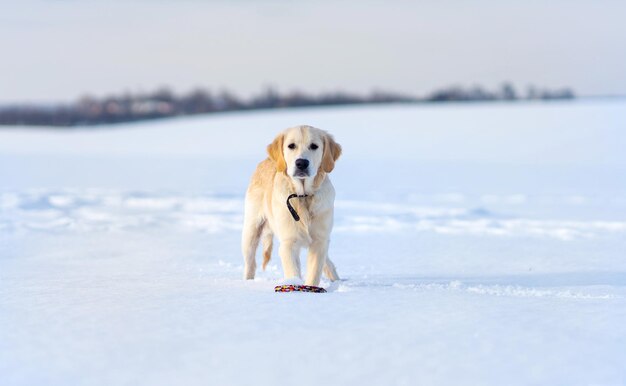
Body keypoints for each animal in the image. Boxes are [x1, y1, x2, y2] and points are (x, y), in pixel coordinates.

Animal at [241, 125, 342, 284]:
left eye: (314, 146)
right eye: (291, 146)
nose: (301, 163)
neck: (303, 196)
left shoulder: (320, 240)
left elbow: (314, 273)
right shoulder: (288, 242)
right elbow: (293, 272)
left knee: (327, 260)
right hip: (251, 230)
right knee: (250, 262)